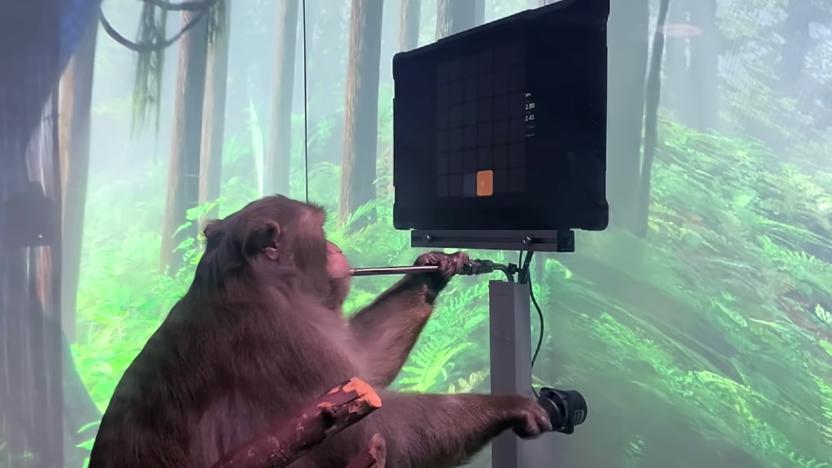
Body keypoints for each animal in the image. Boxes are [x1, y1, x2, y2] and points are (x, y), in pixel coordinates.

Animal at [89, 195, 552, 468]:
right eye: (323, 232)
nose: (336, 248)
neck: (259, 285)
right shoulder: (284, 341)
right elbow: (381, 431)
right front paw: (509, 404)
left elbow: (366, 366)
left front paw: (436, 268)